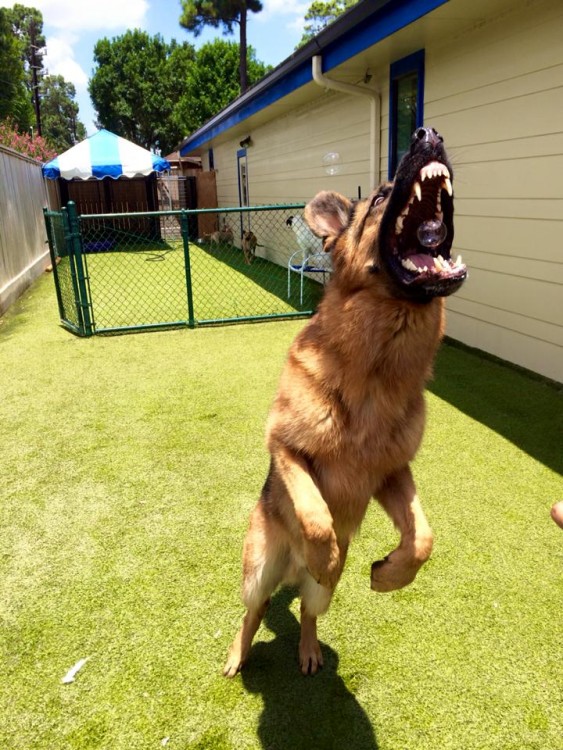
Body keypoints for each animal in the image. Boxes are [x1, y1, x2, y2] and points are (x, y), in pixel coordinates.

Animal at [224, 129, 468, 680]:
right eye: (378, 199)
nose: (428, 134)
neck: (375, 370)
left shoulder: (393, 473)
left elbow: (424, 538)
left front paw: (388, 574)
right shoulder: (286, 450)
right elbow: (316, 517)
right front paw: (327, 555)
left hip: (319, 596)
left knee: (307, 612)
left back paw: (309, 646)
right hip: (257, 569)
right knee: (255, 610)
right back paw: (240, 650)